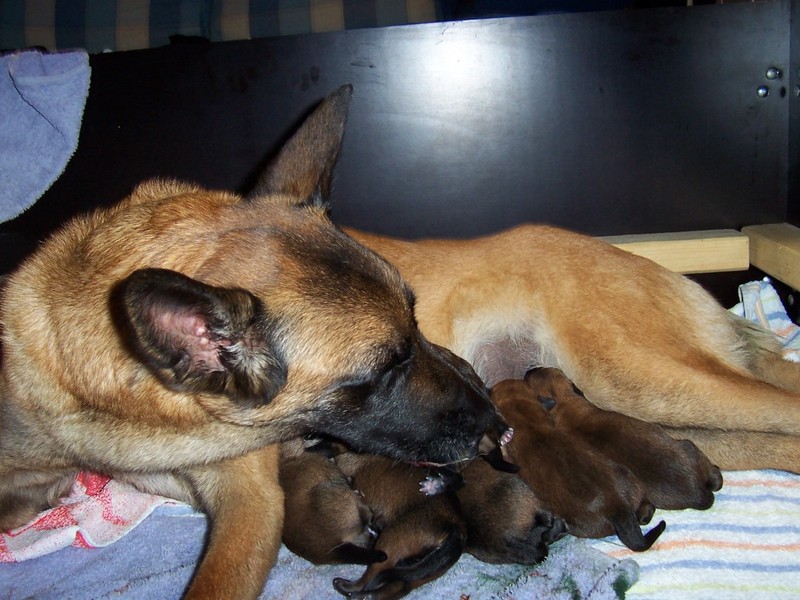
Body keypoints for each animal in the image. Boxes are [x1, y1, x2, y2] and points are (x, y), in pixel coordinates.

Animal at [332, 452, 466, 599]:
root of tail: (455, 529)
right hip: (418, 571)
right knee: (399, 586)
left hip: (389, 545)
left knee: (364, 583)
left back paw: (347, 588)